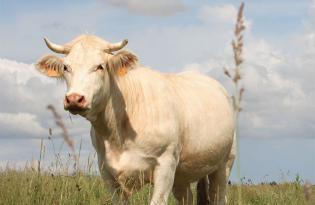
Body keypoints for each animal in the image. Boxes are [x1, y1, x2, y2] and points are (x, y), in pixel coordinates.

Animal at [35, 34, 236, 204]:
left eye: (100, 66)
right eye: (66, 67)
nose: (75, 98)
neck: (118, 135)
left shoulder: (166, 164)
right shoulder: (107, 172)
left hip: (224, 164)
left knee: (219, 196)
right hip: (183, 174)